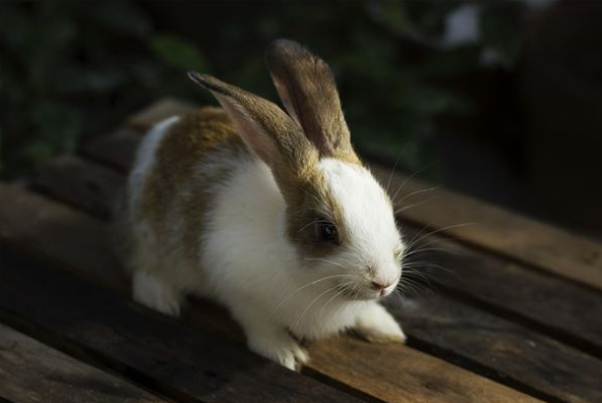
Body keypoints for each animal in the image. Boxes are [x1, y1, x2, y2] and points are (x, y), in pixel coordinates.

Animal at [120, 39, 406, 370]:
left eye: (388, 207)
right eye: (326, 231)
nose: (383, 281)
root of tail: (164, 131)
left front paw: (386, 328)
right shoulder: (238, 288)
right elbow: (259, 324)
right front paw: (285, 354)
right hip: (145, 234)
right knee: (143, 265)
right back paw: (161, 299)